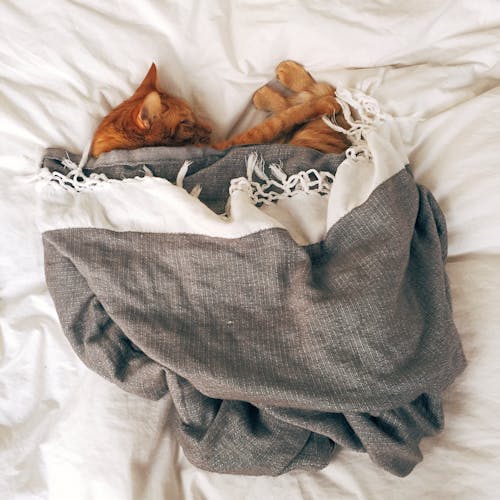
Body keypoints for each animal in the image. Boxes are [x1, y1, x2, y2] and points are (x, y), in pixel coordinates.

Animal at [91, 62, 348, 156]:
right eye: (186, 123)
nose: (210, 127)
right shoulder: (234, 143)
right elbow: (282, 120)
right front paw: (324, 105)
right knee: (319, 96)